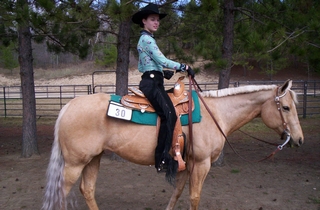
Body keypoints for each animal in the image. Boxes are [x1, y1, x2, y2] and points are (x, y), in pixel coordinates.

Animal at [42, 79, 302, 210]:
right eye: (286, 107)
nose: (298, 139)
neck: (215, 114)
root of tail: (67, 106)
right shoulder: (201, 164)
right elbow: (194, 197)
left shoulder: (186, 164)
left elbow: (177, 193)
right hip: (75, 163)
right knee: (62, 192)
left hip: (92, 159)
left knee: (87, 190)